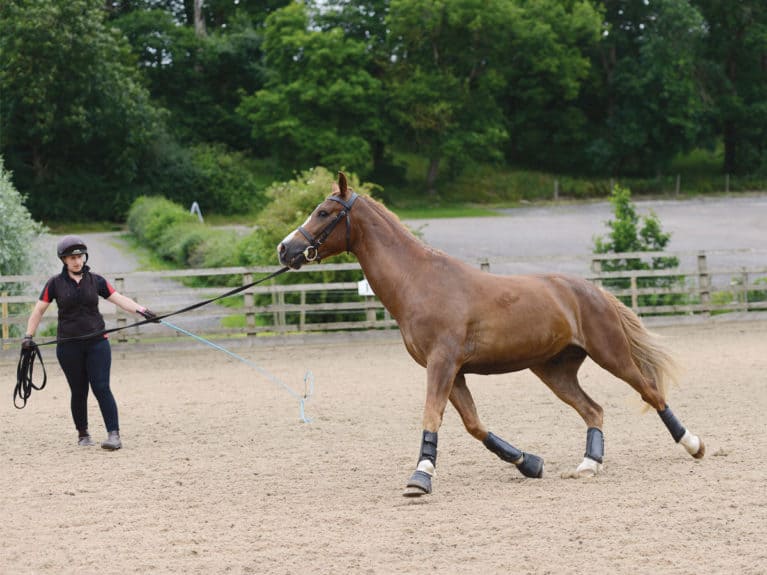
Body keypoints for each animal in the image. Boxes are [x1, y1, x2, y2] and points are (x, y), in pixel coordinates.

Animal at [280, 171, 704, 496]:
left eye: (324, 212)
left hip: (611, 354)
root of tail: (593, 291)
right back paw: (588, 465)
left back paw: (693, 444)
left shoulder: (442, 364)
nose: (285, 249)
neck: (420, 282)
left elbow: (432, 416)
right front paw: (529, 462)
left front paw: (420, 477)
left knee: (651, 392)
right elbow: (474, 425)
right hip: (555, 370)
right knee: (593, 409)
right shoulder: (454, 372)